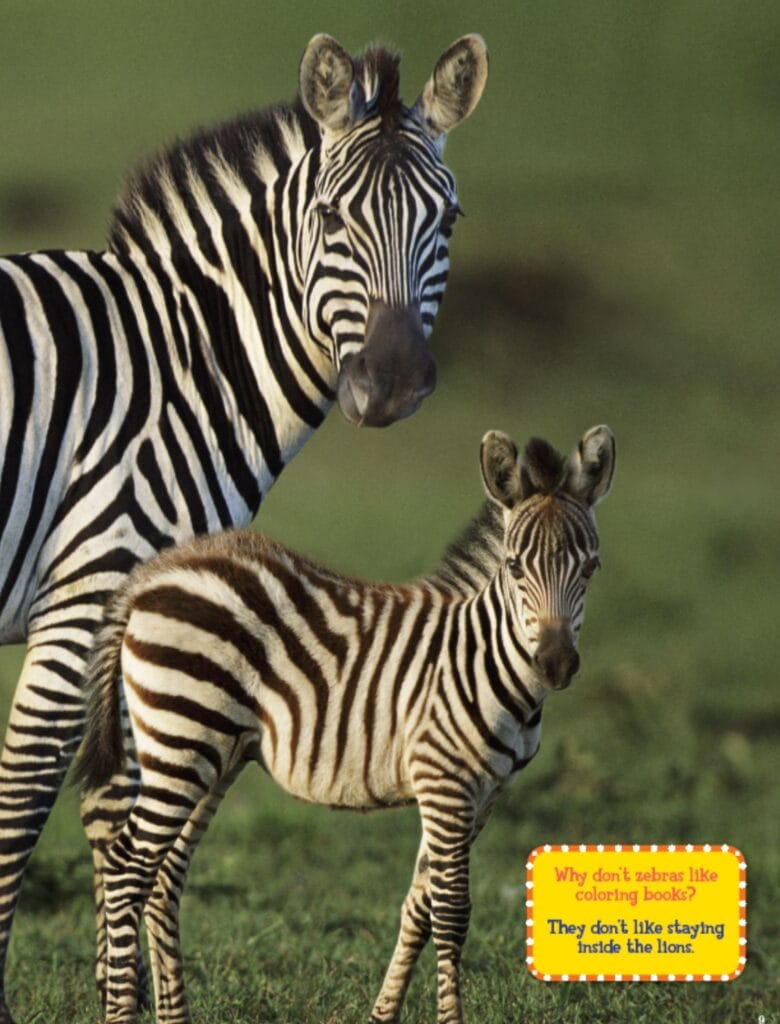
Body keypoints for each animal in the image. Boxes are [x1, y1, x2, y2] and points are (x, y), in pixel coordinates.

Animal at [0, 31, 489, 1022]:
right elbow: (27, 803)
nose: (389, 385)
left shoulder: (143, 623)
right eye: (333, 219)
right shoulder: (89, 593)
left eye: (448, 221)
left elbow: (118, 816)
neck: (182, 361)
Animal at [74, 424, 616, 1024]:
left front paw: (384, 1014)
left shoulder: (484, 795)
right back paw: (122, 1011)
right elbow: (452, 913)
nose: (557, 665)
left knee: (164, 873)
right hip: (182, 739)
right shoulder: (445, 783)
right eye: (516, 566)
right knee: (127, 868)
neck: (486, 658)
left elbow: (419, 908)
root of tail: (152, 575)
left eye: (591, 567)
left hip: (211, 754)